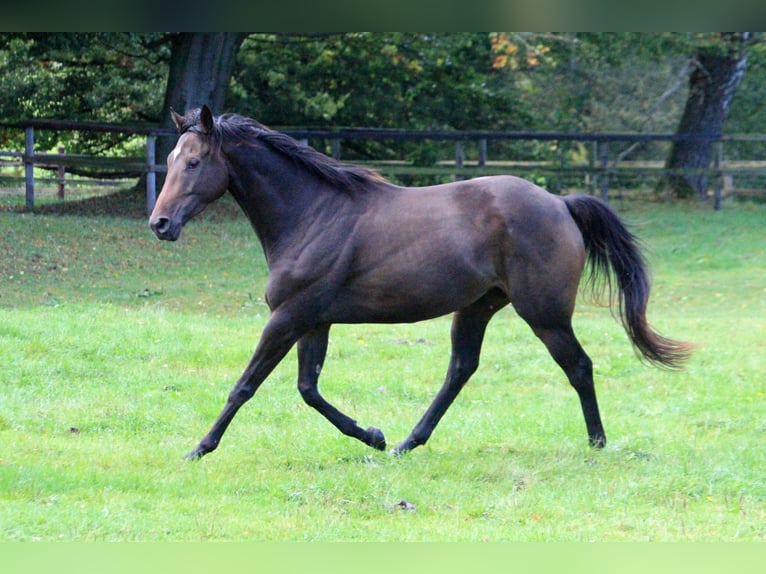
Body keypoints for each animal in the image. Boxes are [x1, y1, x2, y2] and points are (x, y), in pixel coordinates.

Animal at [150, 106, 696, 462]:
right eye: (171, 160)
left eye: (194, 162)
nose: (160, 224)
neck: (312, 213)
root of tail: (560, 203)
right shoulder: (313, 321)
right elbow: (309, 389)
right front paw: (373, 435)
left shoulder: (288, 318)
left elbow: (245, 386)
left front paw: (198, 449)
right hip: (477, 308)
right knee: (461, 369)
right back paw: (407, 444)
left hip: (544, 313)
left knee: (578, 366)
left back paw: (597, 444)